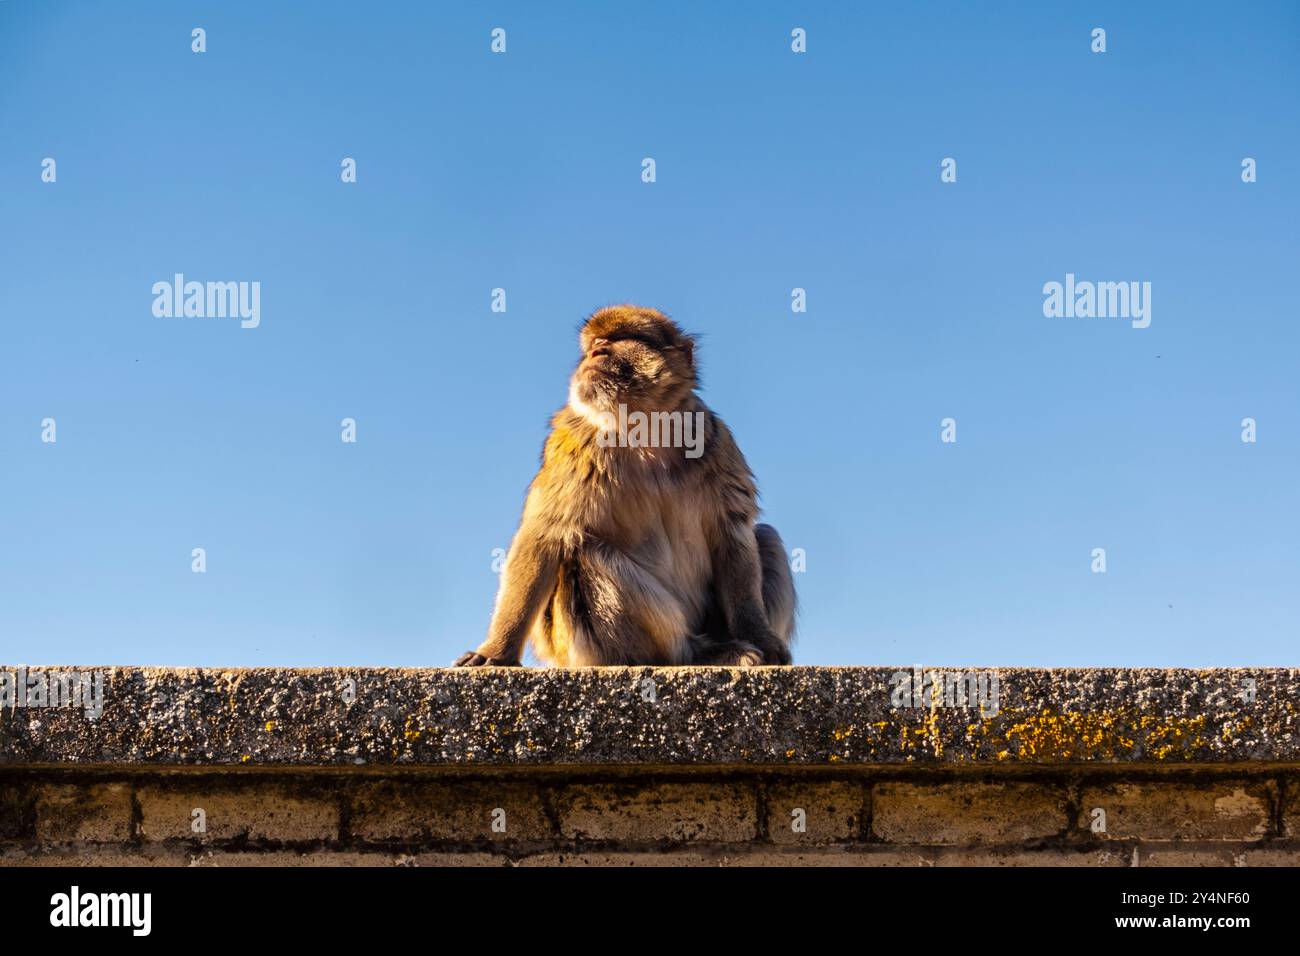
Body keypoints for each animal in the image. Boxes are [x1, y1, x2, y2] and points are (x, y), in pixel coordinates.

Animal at [454, 305, 795, 668]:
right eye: (594, 343)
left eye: (617, 338)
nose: (596, 353)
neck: (645, 429)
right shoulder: (571, 447)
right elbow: (545, 536)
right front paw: (496, 652)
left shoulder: (717, 440)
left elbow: (731, 531)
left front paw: (759, 635)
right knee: (585, 552)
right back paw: (695, 652)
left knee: (765, 536)